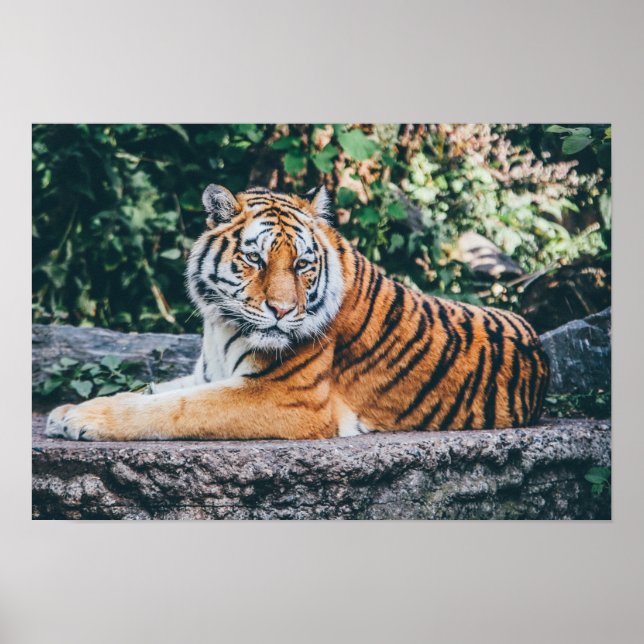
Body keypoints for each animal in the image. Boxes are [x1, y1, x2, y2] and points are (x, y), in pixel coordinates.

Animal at [45, 184, 550, 441]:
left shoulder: (286, 397)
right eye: (255, 259)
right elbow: (153, 390)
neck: (220, 325)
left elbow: (174, 408)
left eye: (303, 265)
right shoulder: (209, 373)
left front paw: (83, 419)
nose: (283, 310)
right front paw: (67, 409)